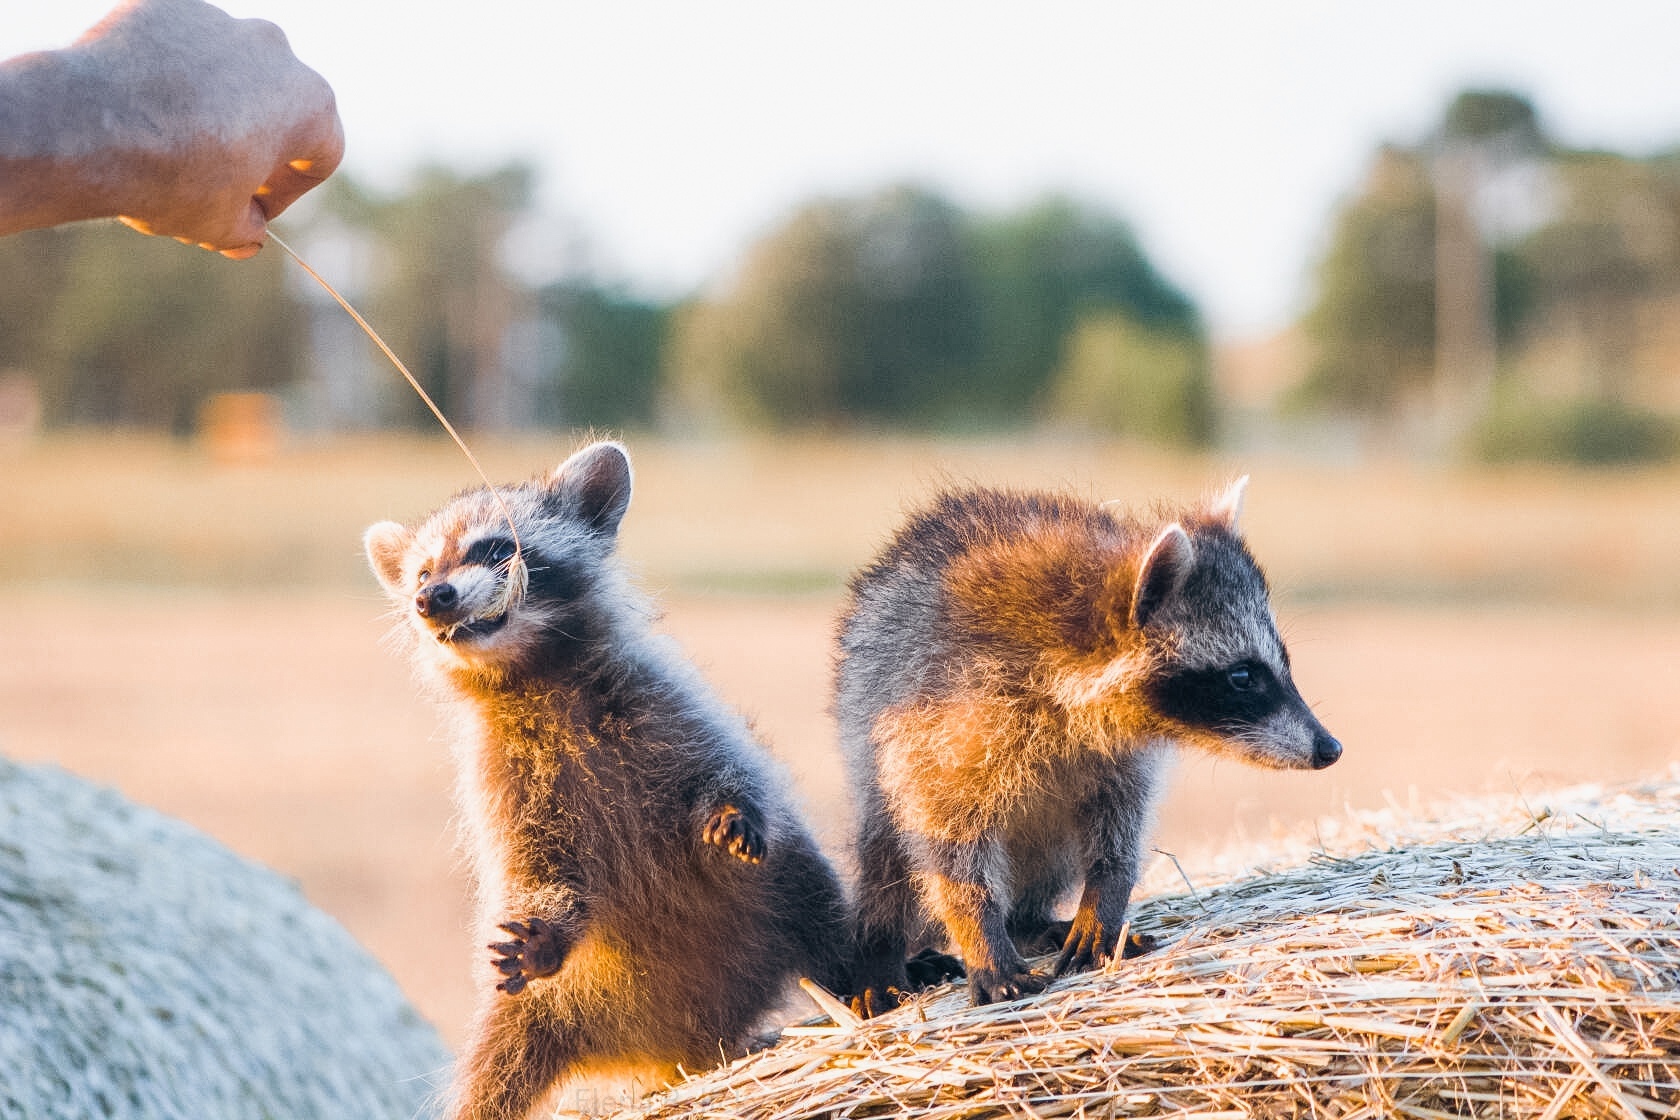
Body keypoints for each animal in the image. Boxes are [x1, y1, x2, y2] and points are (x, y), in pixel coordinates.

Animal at [361, 443, 846, 1120]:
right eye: (422, 571)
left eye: (493, 548)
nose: (431, 597)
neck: (532, 674)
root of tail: (683, 1049)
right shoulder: (502, 781)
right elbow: (538, 866)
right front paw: (547, 928)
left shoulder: (665, 702)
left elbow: (734, 771)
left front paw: (731, 810)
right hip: (536, 1011)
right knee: (495, 1066)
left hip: (770, 901)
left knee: (810, 893)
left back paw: (871, 979)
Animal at [836, 476, 1337, 1020]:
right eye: (1243, 676)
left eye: (1281, 662)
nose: (1329, 748)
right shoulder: (944, 712)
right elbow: (949, 842)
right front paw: (979, 932)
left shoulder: (1119, 754)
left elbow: (1120, 826)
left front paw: (1105, 896)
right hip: (875, 761)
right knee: (889, 858)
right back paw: (883, 948)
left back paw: (1027, 921)